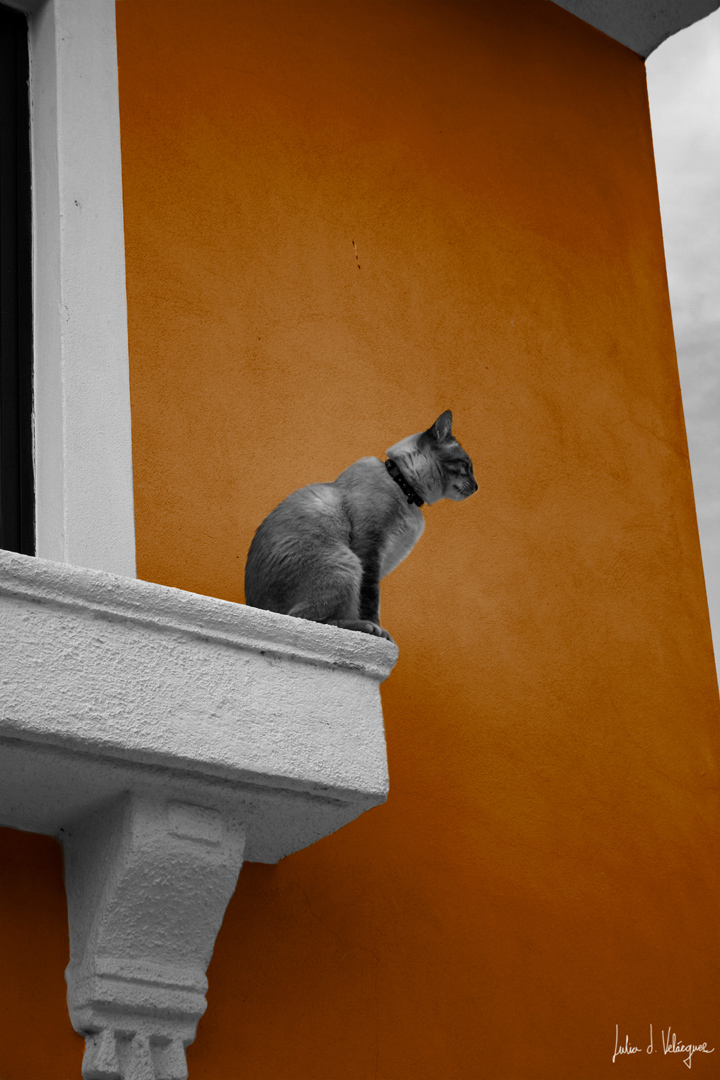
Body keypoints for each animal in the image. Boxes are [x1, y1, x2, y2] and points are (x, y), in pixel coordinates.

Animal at [244, 410, 477, 641]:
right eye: (466, 466)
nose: (476, 486)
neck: (405, 489)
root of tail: (259, 607)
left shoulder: (381, 561)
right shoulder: (371, 548)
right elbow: (370, 598)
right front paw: (379, 631)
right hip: (345, 564)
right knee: (307, 618)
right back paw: (368, 628)